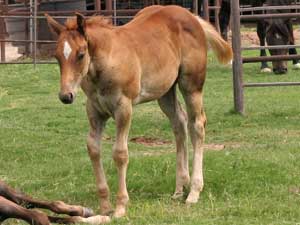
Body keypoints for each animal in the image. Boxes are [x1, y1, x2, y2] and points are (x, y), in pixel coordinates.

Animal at [45, 5, 232, 219]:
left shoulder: (123, 107)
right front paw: (105, 206)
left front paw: (120, 206)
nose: (65, 96)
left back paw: (193, 191)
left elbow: (120, 153)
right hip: (165, 91)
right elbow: (93, 149)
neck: (106, 62)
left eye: (81, 54)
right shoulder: (94, 110)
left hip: (191, 85)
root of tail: (191, 16)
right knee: (179, 123)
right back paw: (179, 189)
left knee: (197, 125)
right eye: (57, 56)